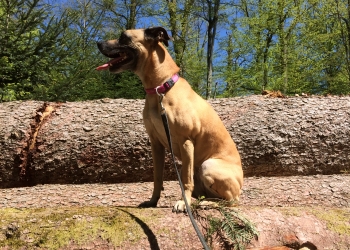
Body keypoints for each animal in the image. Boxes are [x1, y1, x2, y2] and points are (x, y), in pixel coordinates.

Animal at [96, 27, 243, 212]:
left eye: (124, 37)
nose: (98, 43)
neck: (160, 88)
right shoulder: (156, 143)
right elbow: (157, 177)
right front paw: (152, 201)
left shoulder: (186, 141)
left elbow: (186, 179)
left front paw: (183, 202)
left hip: (208, 165)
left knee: (231, 200)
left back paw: (206, 203)